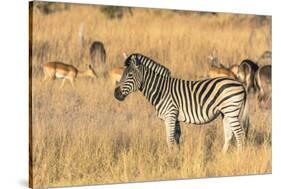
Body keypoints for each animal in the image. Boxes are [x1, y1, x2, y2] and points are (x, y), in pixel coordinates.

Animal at [114, 53, 249, 152]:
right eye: (122, 74)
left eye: (130, 75)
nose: (116, 94)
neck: (161, 90)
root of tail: (240, 84)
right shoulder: (174, 117)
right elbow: (177, 137)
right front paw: (178, 155)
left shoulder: (170, 115)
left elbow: (169, 139)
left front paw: (170, 159)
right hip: (226, 113)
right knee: (229, 135)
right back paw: (223, 155)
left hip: (231, 110)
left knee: (240, 134)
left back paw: (239, 156)